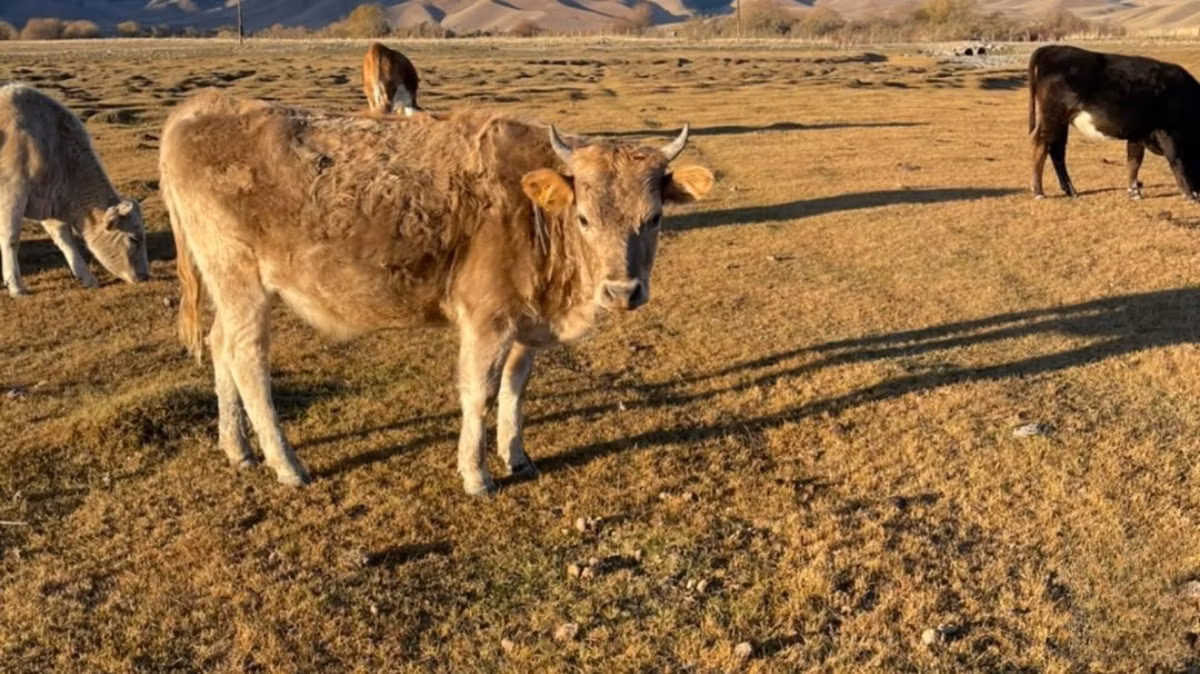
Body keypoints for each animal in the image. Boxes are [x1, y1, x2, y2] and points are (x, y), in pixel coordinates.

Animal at [0, 83, 149, 296]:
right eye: (134, 238)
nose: (146, 276)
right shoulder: (12, 192)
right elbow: (11, 238)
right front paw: (15, 285)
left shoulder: (49, 201)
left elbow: (65, 239)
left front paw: (87, 277)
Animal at [160, 91, 714, 495]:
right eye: (583, 218)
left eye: (655, 217)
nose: (622, 291)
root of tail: (202, 106)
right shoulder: (487, 319)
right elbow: (479, 392)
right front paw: (476, 474)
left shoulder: (525, 322)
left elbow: (515, 389)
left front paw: (516, 456)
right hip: (240, 280)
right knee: (247, 360)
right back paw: (287, 464)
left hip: (227, 286)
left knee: (219, 346)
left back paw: (237, 448)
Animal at [1029, 44, 1200, 201]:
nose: (1198, 192)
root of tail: (1051, 48)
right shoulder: (1167, 131)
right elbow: (1176, 160)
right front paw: (1189, 194)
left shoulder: (1138, 133)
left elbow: (1134, 160)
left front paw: (1134, 192)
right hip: (1052, 118)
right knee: (1041, 146)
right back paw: (1039, 191)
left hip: (1060, 122)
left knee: (1056, 151)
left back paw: (1070, 190)